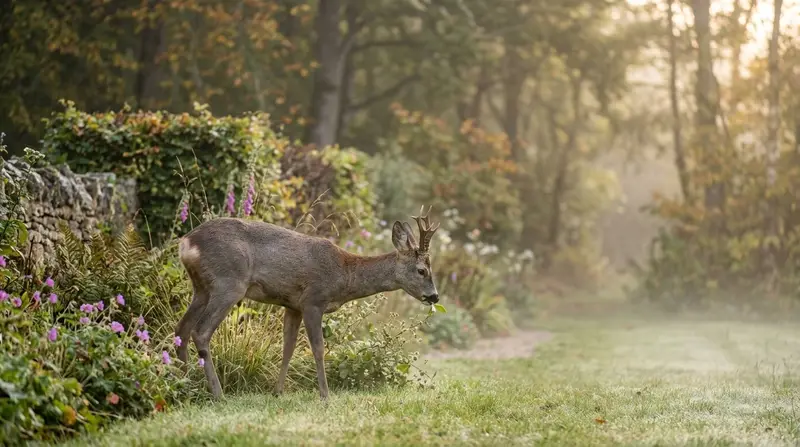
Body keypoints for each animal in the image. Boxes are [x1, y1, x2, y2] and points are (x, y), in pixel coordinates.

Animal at [174, 207, 440, 400]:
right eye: (421, 270)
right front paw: (325, 394)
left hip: (201, 288)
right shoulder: (313, 300)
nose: (435, 296)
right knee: (201, 331)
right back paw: (217, 394)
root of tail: (187, 242)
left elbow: (288, 348)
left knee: (181, 330)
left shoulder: (292, 305)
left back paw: (185, 383)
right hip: (228, 282)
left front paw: (278, 392)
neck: (345, 275)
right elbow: (319, 349)